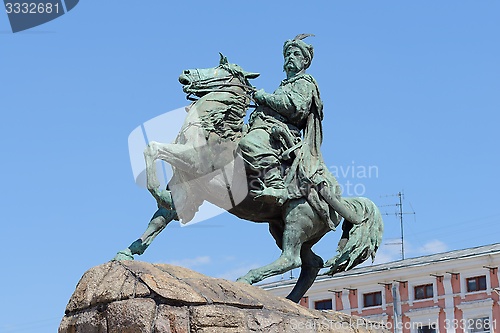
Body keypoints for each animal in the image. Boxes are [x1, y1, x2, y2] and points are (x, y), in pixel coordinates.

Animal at [114, 54, 382, 300]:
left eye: (221, 67)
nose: (186, 72)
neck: (212, 128)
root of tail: (340, 199)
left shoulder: (192, 160)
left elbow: (152, 149)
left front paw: (158, 193)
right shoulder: (188, 190)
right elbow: (159, 220)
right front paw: (128, 252)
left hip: (297, 219)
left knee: (291, 259)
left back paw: (248, 278)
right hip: (282, 227)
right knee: (311, 263)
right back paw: (291, 300)